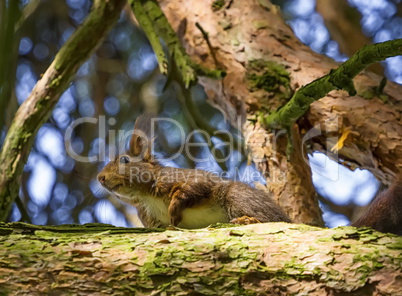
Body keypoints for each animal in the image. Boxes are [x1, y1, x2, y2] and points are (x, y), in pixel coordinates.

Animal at [98, 114, 402, 235]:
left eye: (124, 160)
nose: (100, 179)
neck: (145, 196)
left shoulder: (182, 180)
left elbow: (193, 189)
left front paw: (175, 207)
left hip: (236, 197)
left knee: (269, 220)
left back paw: (248, 220)